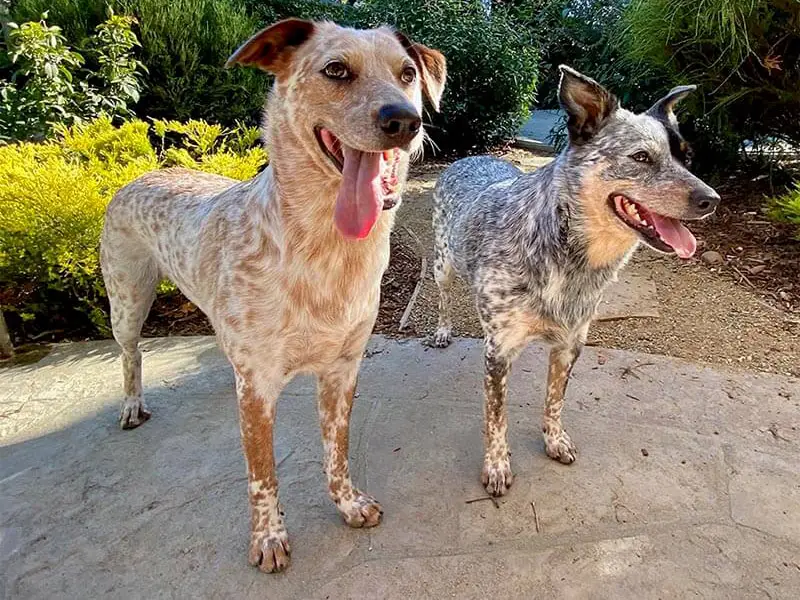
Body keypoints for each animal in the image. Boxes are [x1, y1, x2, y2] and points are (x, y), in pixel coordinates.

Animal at [99, 18, 444, 572]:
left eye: (408, 73)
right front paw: (268, 538)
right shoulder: (260, 387)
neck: (325, 252)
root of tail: (149, 171)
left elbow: (336, 451)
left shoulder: (342, 370)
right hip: (126, 301)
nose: (405, 121)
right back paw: (132, 406)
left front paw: (348, 505)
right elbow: (262, 474)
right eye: (335, 70)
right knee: (130, 355)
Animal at [432, 65, 720, 496]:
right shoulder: (500, 350)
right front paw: (497, 465)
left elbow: (554, 400)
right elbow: (496, 418)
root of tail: (471, 157)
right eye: (641, 157)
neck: (567, 254)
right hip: (442, 263)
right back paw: (442, 330)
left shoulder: (570, 343)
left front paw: (554, 441)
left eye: (686, 157)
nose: (712, 200)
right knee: (444, 297)